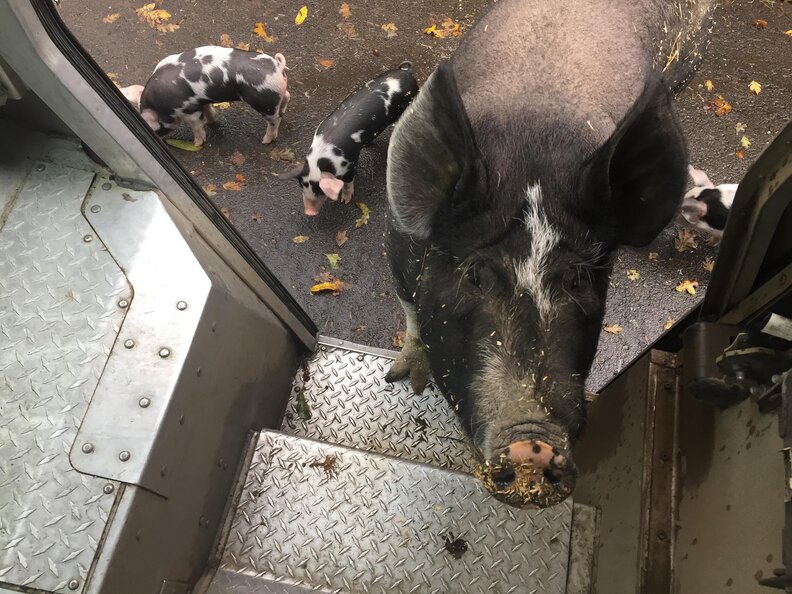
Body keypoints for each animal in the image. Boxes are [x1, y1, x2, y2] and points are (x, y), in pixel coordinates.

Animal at [121, 46, 290, 146]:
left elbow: (196, 125)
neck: (160, 106)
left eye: (155, 128)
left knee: (275, 120)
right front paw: (211, 121)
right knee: (287, 96)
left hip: (265, 103)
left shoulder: (189, 110)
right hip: (277, 94)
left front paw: (197, 143)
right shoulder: (201, 100)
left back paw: (265, 141)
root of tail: (277, 68)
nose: (159, 140)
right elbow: (208, 110)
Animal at [281, 61, 418, 216]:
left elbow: (348, 182)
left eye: (320, 190)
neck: (325, 154)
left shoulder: (351, 162)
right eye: (302, 186)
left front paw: (345, 201)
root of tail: (406, 72)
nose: (309, 212)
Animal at [384, 0, 715, 507]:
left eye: (578, 278)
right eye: (474, 274)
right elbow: (410, 311)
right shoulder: (398, 244)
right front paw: (406, 377)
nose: (533, 446)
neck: (532, 150)